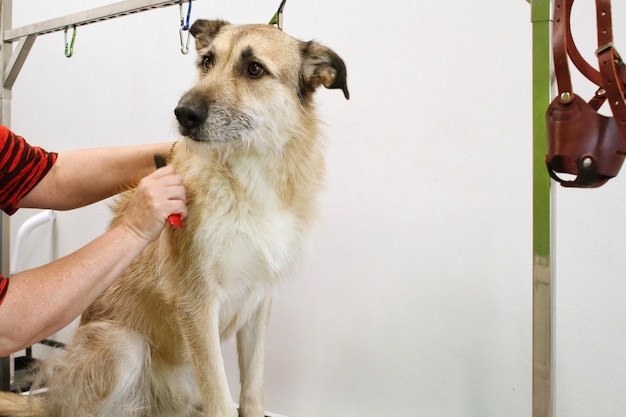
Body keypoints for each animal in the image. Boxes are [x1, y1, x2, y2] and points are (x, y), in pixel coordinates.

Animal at [0, 18, 346, 416]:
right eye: (207, 61)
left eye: (255, 69)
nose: (184, 113)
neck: (250, 178)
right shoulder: (197, 301)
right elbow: (220, 399)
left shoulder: (259, 301)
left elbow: (252, 391)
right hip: (123, 346)